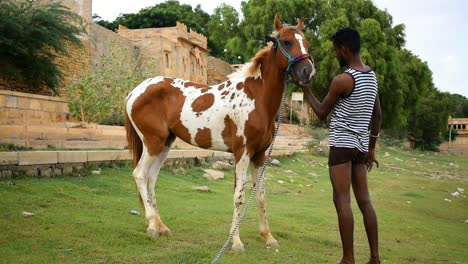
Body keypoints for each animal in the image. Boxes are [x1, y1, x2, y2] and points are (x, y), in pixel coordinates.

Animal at [124, 14, 314, 252]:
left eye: (306, 43)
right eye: (287, 42)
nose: (308, 72)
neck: (257, 98)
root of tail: (135, 91)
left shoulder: (260, 155)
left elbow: (260, 194)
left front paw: (268, 237)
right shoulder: (243, 152)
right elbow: (239, 194)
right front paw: (236, 242)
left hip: (164, 144)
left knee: (151, 179)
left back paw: (161, 226)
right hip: (152, 143)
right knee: (140, 175)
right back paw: (151, 226)